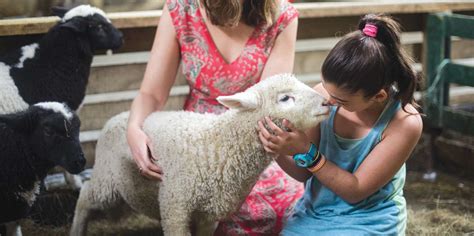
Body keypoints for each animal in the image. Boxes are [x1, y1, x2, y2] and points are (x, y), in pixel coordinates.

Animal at [71, 74, 330, 236]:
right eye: (285, 98)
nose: (327, 102)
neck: (217, 145)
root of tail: (118, 117)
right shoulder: (175, 207)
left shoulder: (208, 214)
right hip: (106, 179)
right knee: (85, 196)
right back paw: (76, 230)